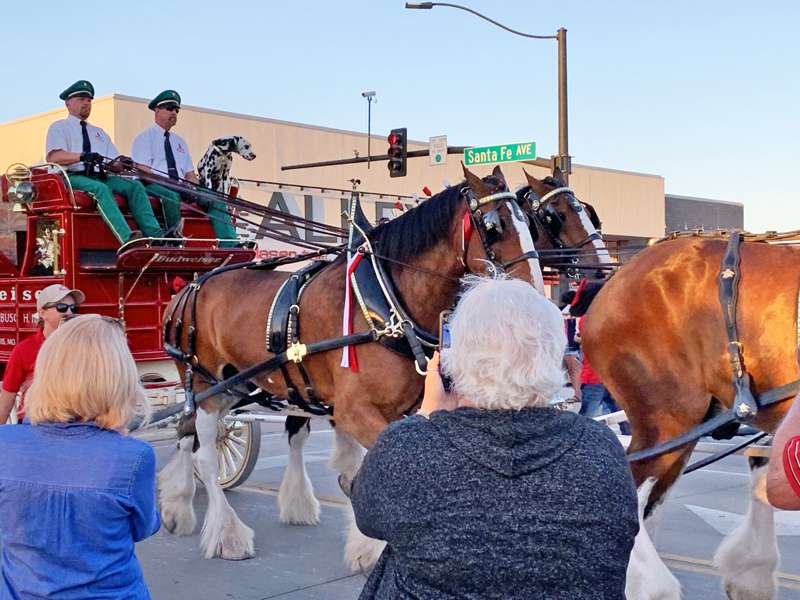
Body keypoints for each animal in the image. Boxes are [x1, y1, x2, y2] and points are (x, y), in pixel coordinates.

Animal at [157, 165, 540, 564]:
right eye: (494, 225)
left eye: (529, 221)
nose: (533, 293)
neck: (385, 301)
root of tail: (187, 288)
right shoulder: (354, 410)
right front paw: (372, 548)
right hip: (206, 386)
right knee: (205, 454)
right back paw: (226, 532)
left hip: (237, 385)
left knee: (187, 432)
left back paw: (179, 504)